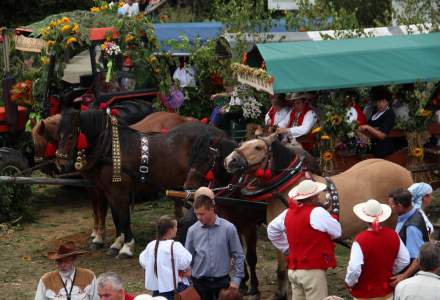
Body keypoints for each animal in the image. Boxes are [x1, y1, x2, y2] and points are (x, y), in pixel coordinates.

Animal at [54, 109, 227, 258]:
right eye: (58, 135)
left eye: (71, 136)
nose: (60, 163)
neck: (109, 147)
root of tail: (219, 133)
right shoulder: (108, 190)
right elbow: (116, 216)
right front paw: (117, 242)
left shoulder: (118, 190)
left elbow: (123, 216)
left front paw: (126, 247)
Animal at [225, 134, 414, 300]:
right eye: (241, 144)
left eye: (258, 147)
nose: (230, 160)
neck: (290, 188)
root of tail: (405, 171)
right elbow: (281, 270)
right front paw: (281, 294)